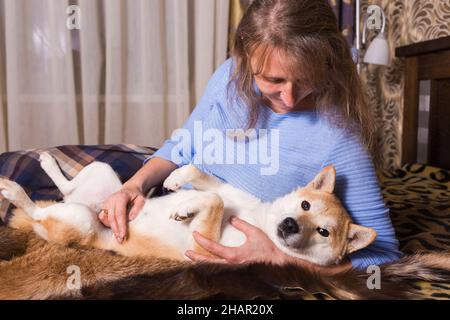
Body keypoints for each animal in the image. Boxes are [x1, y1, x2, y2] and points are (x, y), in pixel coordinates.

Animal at [0, 152, 376, 264]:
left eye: (323, 231)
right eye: (305, 204)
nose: (290, 226)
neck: (259, 221)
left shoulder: (204, 245)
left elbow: (214, 201)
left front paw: (184, 209)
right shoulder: (229, 190)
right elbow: (206, 180)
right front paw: (177, 180)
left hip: (82, 222)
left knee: (35, 212)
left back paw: (11, 188)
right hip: (104, 178)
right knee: (66, 188)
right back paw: (47, 163)